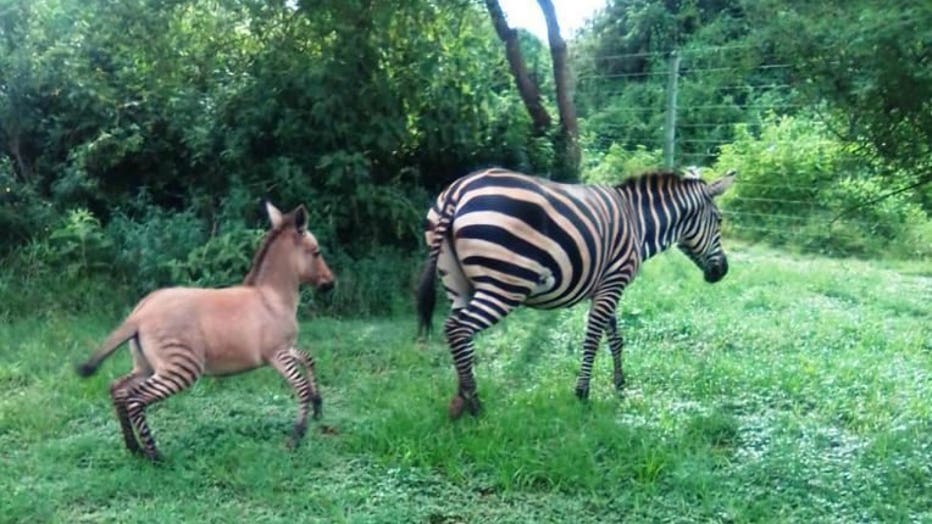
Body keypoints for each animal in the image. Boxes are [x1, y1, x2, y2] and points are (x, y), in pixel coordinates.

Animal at [416, 166, 736, 420]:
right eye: (719, 221)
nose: (722, 272)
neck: (638, 223)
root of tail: (458, 189)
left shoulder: (606, 285)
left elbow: (615, 338)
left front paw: (620, 384)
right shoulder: (613, 282)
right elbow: (593, 338)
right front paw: (583, 393)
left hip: (458, 284)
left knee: (457, 333)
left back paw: (461, 398)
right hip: (505, 285)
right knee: (458, 329)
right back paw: (474, 404)